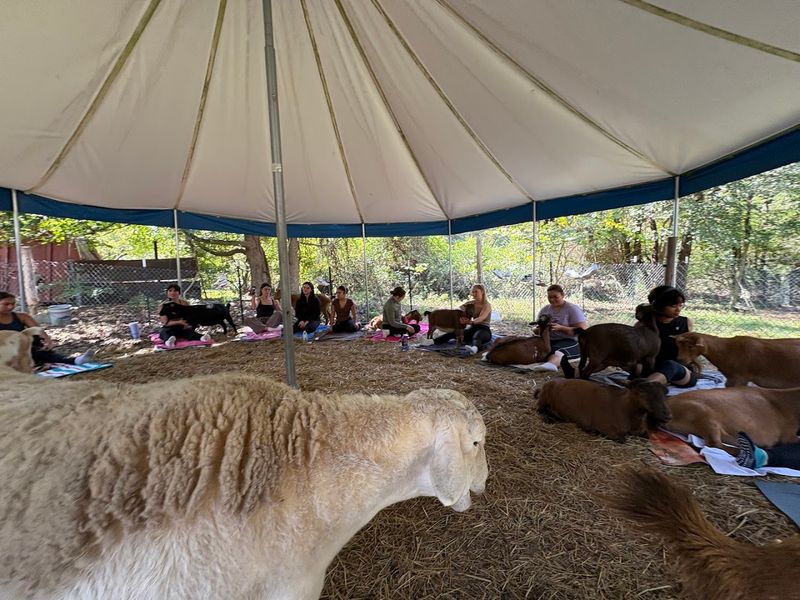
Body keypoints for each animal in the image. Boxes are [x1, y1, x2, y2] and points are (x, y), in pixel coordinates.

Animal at [535, 378, 670, 442]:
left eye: (665, 392)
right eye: (641, 391)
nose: (667, 416)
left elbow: (647, 435)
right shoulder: (606, 427)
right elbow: (622, 439)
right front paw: (592, 431)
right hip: (544, 399)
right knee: (540, 410)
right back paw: (549, 418)